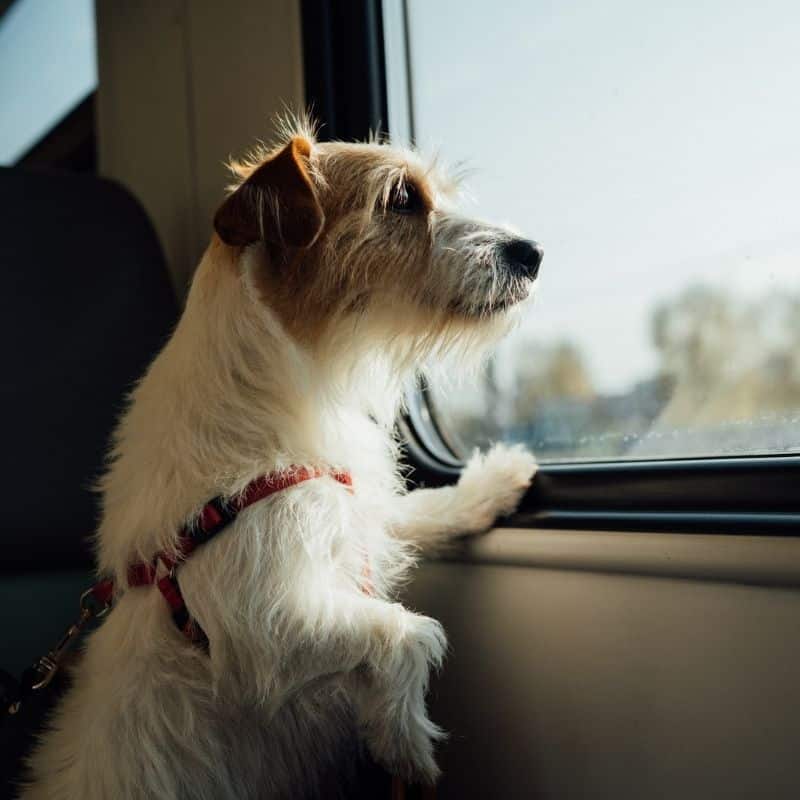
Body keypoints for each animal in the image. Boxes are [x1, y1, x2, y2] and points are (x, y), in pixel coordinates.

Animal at [20, 114, 544, 800]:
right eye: (403, 198)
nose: (531, 253)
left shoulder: (348, 507)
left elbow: (417, 512)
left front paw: (495, 482)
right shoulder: (263, 622)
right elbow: (403, 632)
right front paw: (404, 739)